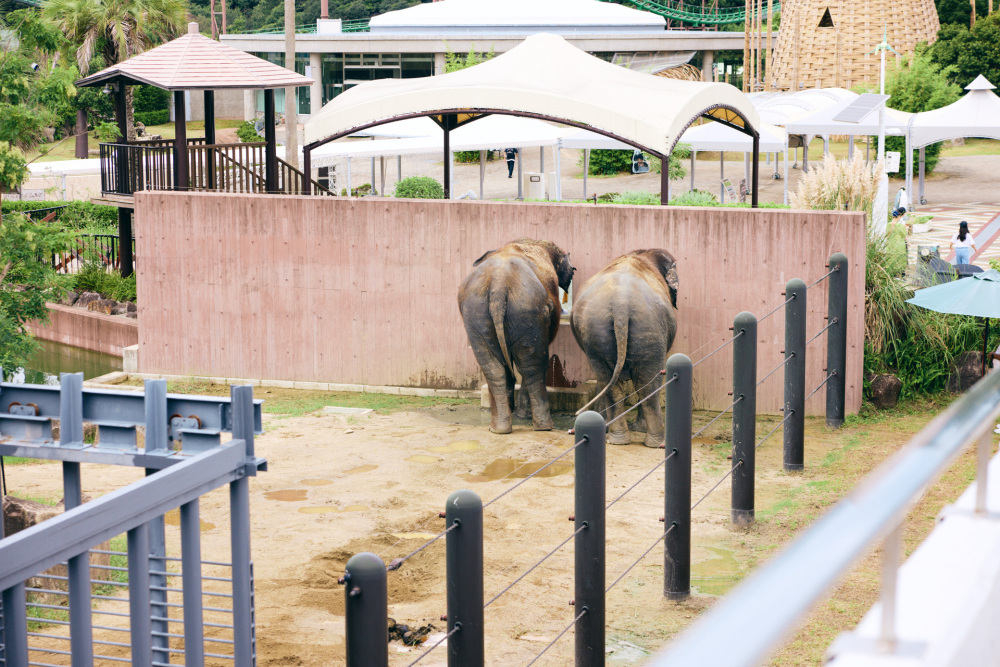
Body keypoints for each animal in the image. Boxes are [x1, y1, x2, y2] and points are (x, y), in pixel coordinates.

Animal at [458, 237, 576, 436]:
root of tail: (498, 285)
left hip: (476, 314)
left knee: (492, 366)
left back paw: (498, 428)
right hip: (527, 311)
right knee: (532, 364)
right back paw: (543, 426)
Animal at [572, 249, 680, 448]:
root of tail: (620, 304)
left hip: (596, 330)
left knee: (610, 382)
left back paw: (617, 439)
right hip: (649, 328)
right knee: (648, 385)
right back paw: (656, 442)